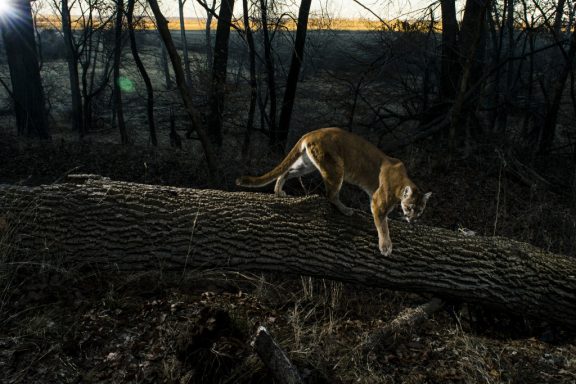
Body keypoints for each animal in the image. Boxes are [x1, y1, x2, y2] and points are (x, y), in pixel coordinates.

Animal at [235, 127, 432, 256]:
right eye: (410, 207)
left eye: (420, 210)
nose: (413, 219)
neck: (401, 184)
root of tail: (313, 132)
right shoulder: (378, 202)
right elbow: (382, 225)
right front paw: (385, 246)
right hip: (335, 168)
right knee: (330, 194)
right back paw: (345, 210)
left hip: (307, 164)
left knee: (287, 171)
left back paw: (278, 191)